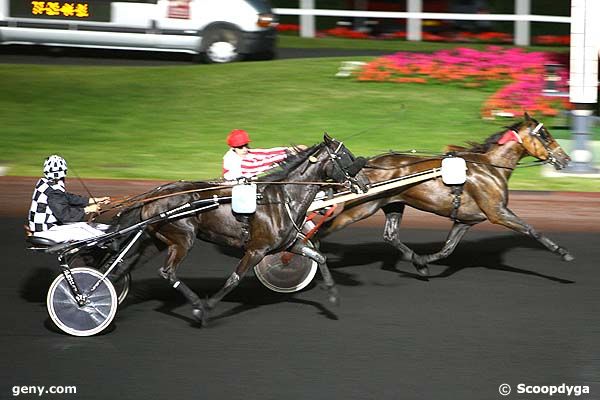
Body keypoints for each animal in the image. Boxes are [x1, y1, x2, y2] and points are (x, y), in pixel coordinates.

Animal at [112, 136, 366, 324]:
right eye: (345, 156)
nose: (363, 184)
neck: (283, 199)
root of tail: (154, 196)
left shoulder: (290, 243)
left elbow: (319, 257)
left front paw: (333, 296)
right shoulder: (256, 249)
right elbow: (234, 279)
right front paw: (207, 308)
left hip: (155, 240)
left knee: (124, 266)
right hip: (183, 238)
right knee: (167, 272)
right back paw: (195, 304)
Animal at [322, 115, 576, 276]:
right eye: (545, 134)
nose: (566, 159)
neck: (490, 168)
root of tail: (363, 168)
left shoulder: (466, 219)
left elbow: (447, 249)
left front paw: (422, 262)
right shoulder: (497, 212)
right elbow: (531, 229)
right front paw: (563, 253)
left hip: (394, 204)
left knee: (390, 235)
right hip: (361, 207)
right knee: (325, 228)